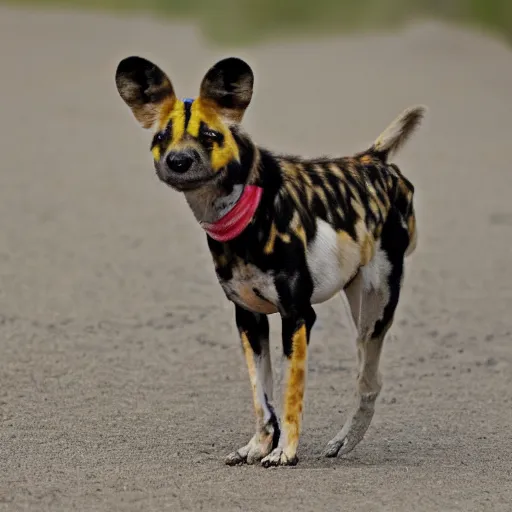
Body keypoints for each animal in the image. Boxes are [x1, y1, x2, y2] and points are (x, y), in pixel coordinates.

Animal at [115, 57, 424, 468]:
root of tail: (374, 159)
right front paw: (259, 445)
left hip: (373, 314)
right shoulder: (249, 320)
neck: (247, 212)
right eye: (162, 137)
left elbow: (291, 396)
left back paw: (344, 441)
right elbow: (262, 399)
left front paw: (285, 452)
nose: (178, 161)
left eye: (210, 136)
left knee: (368, 383)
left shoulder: (297, 317)